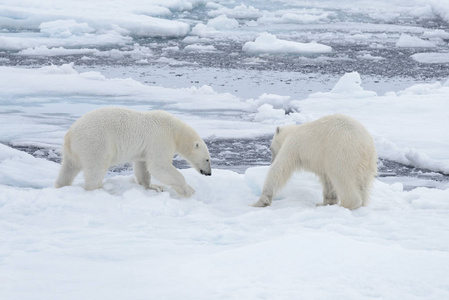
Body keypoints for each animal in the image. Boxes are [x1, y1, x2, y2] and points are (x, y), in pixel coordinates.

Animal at [54, 108, 212, 197]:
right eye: (207, 159)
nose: (209, 173)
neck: (175, 131)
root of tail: (70, 135)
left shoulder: (144, 149)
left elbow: (142, 166)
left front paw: (153, 187)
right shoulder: (160, 138)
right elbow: (158, 165)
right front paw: (188, 190)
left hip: (73, 151)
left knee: (68, 169)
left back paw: (61, 185)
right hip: (96, 143)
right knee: (96, 168)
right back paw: (104, 190)